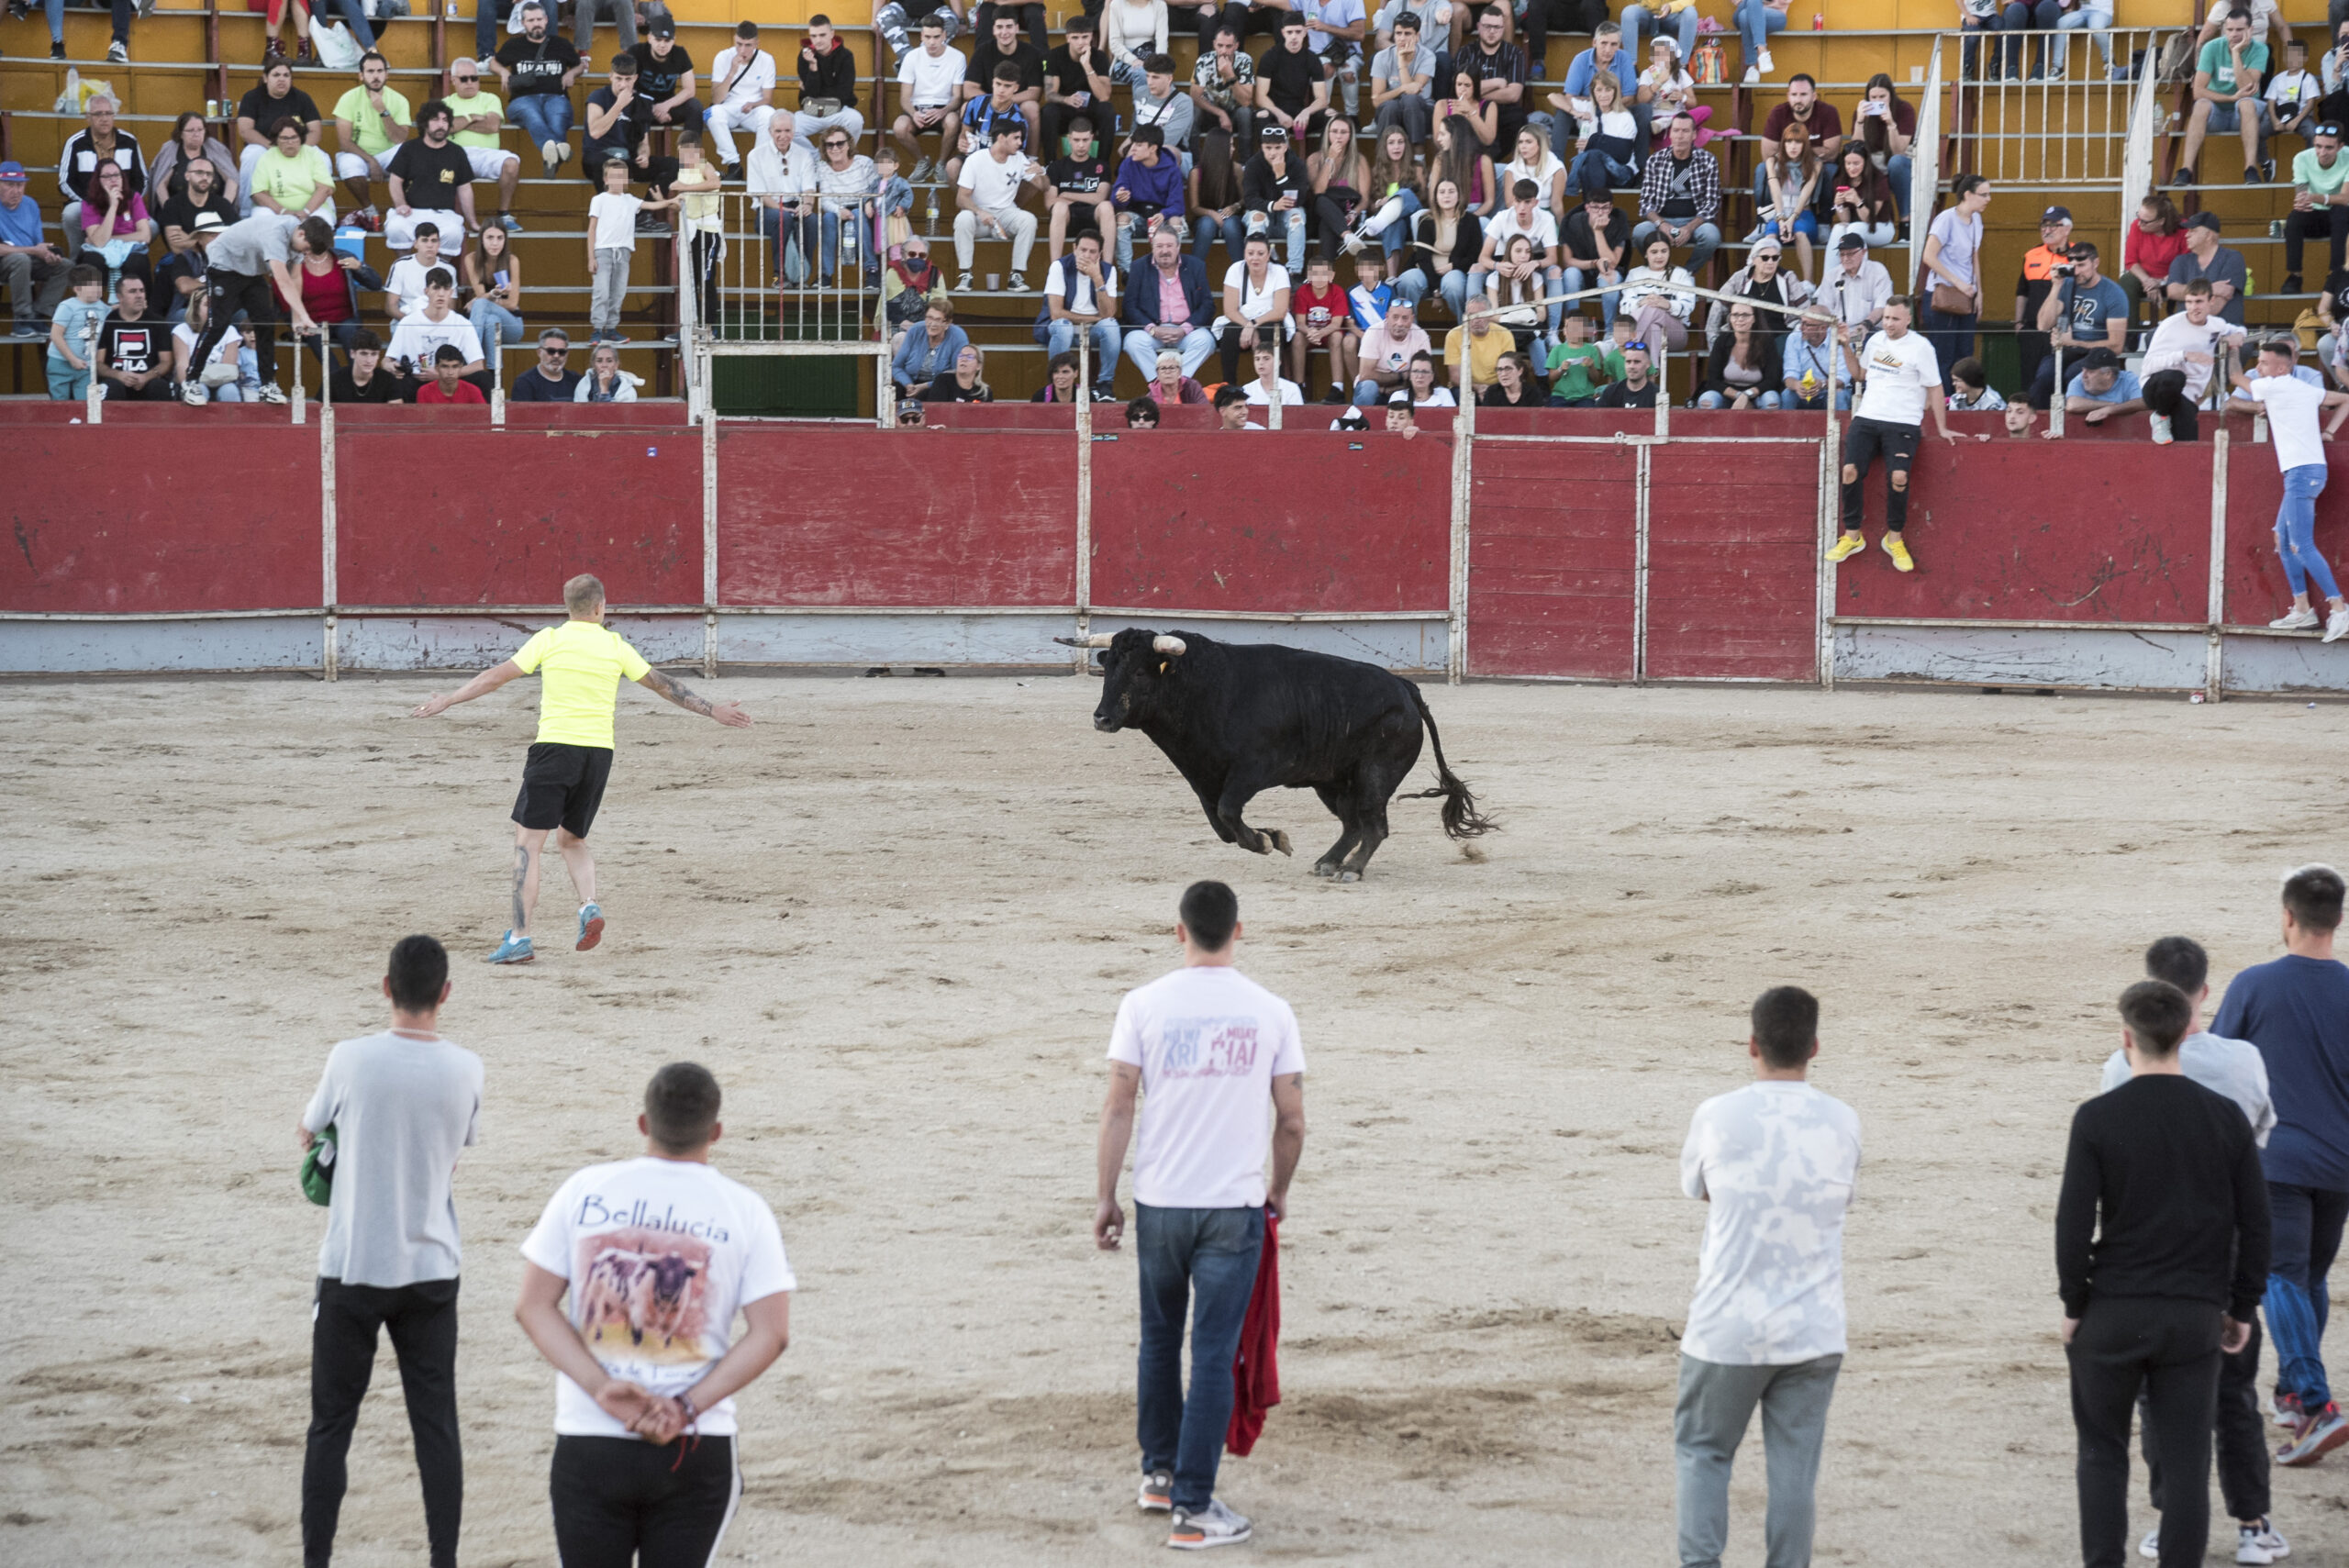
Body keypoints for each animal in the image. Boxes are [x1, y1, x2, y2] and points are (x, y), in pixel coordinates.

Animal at [1062, 633, 1494, 882]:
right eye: (1108, 669)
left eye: (1138, 673)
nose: (1102, 718)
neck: (1205, 685)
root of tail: (1405, 687)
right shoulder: (1203, 777)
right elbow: (1220, 825)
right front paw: (1271, 837)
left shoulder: (1251, 772)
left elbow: (1228, 813)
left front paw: (1266, 841)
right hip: (1332, 782)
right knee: (1353, 824)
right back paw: (1328, 862)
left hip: (1375, 775)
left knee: (1374, 826)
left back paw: (1351, 870)